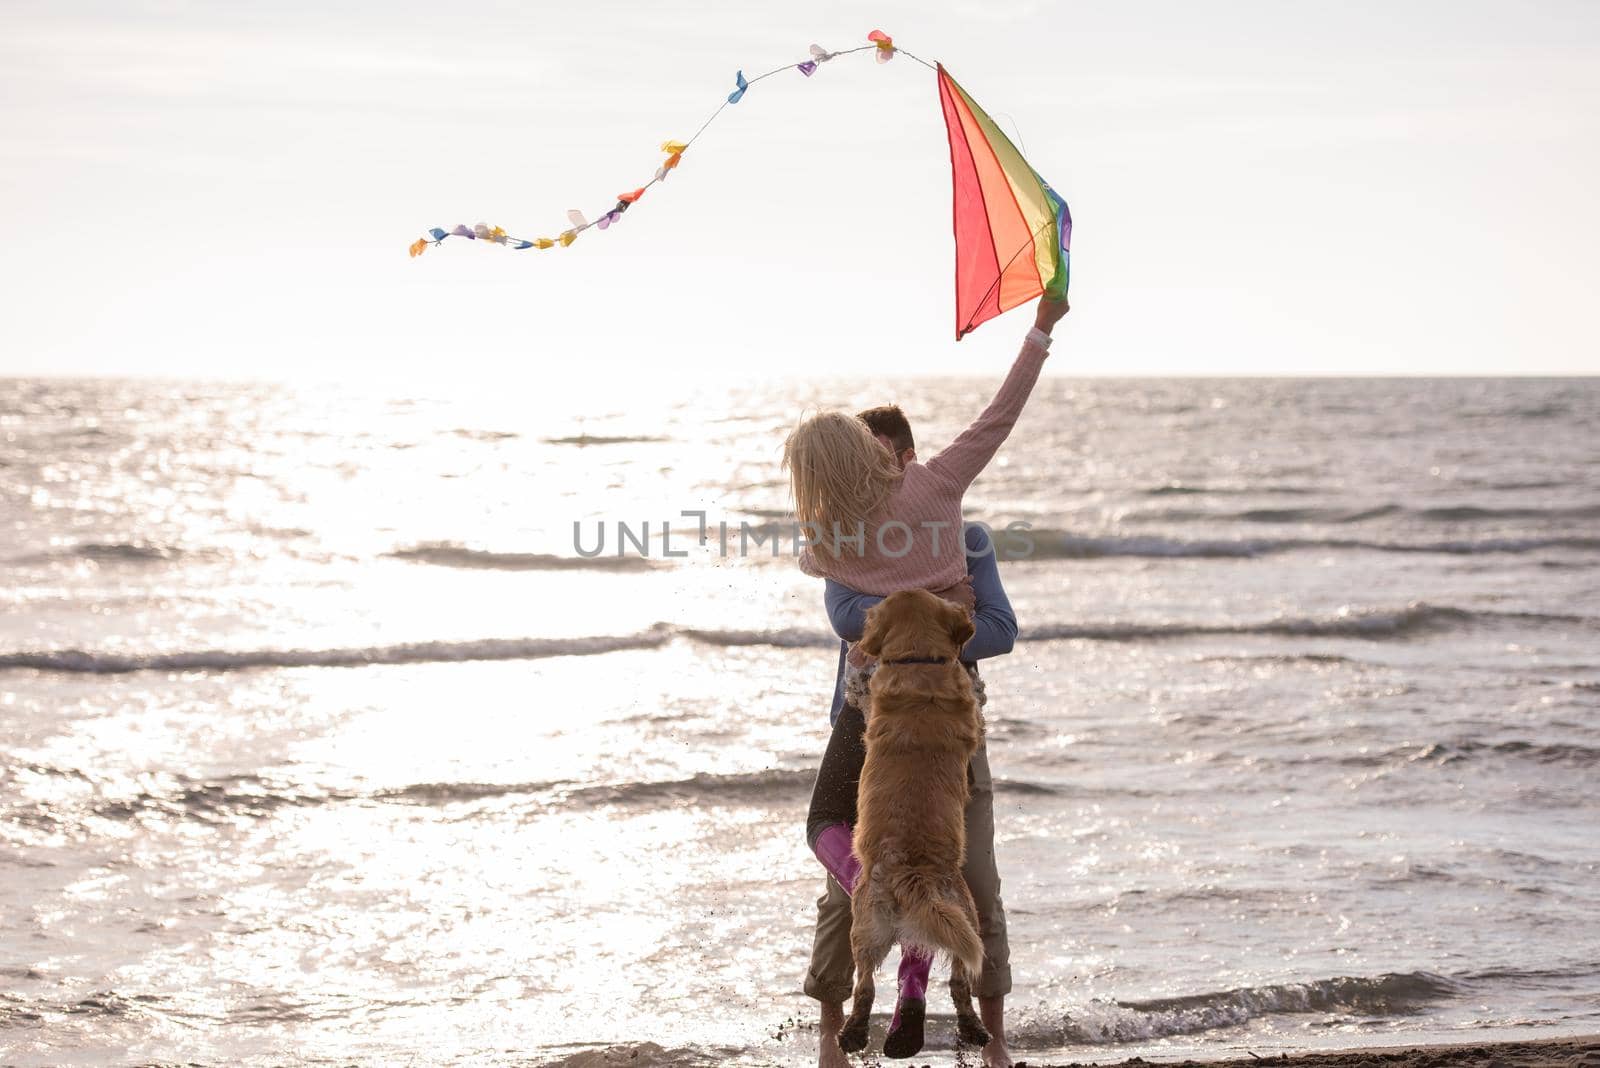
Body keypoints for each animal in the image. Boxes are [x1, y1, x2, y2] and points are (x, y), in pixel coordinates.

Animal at [832, 588, 992, 1055]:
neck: (920, 661)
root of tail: (913, 873)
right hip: (960, 916)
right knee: (958, 981)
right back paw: (972, 1029)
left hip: (867, 924)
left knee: (865, 986)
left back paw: (853, 1033)